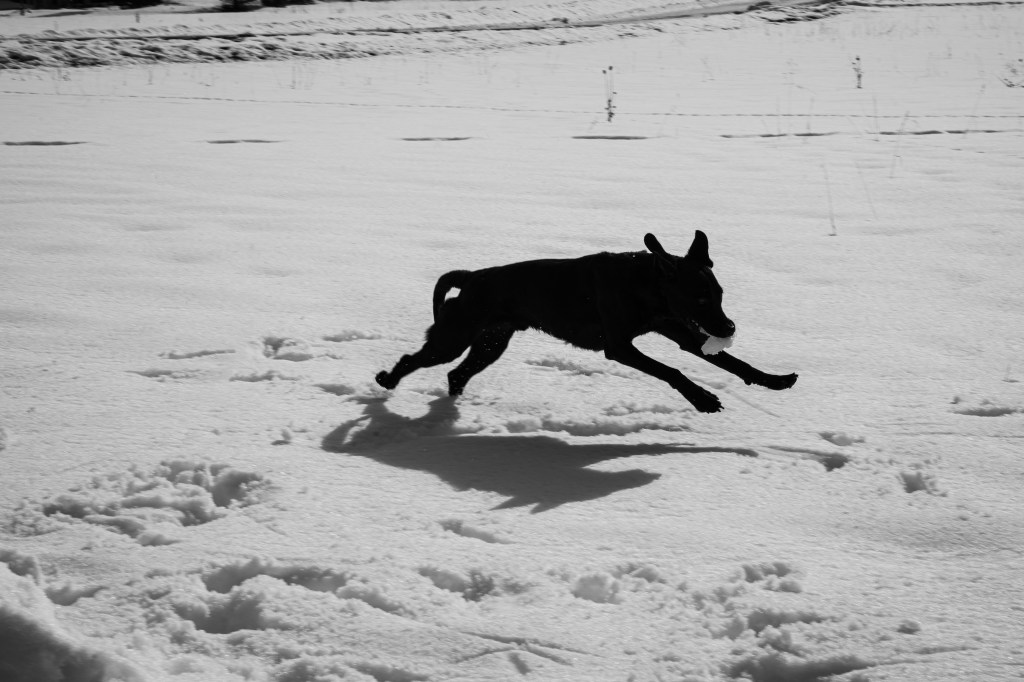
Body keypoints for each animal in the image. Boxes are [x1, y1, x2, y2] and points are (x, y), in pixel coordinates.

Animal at [375, 231, 797, 413]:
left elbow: (734, 363)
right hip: (455, 337)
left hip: (491, 342)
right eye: (700, 298)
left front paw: (774, 381)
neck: (646, 286)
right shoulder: (619, 346)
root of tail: (471, 277)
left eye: (720, 293)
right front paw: (703, 399)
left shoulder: (681, 332)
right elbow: (672, 371)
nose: (728, 329)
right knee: (415, 360)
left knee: (456, 374)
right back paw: (388, 380)